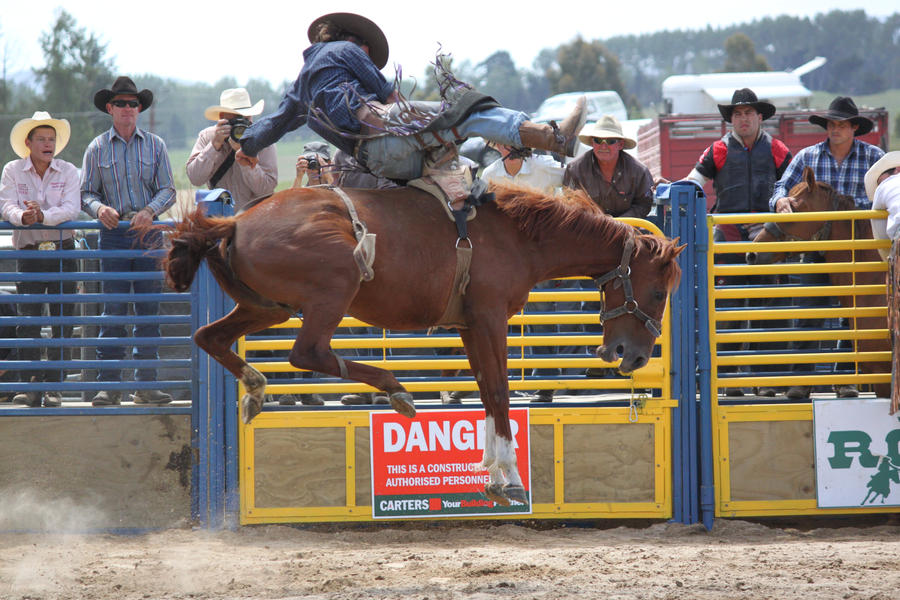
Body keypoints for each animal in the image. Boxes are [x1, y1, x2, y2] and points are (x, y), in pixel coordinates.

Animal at [163, 180, 684, 504]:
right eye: (660, 292)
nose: (634, 355)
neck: (518, 235)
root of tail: (235, 223)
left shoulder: (470, 326)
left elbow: (486, 392)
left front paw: (492, 475)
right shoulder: (490, 318)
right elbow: (499, 392)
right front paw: (512, 478)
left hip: (267, 306)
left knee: (208, 335)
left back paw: (255, 387)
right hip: (332, 289)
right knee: (306, 352)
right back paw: (395, 390)